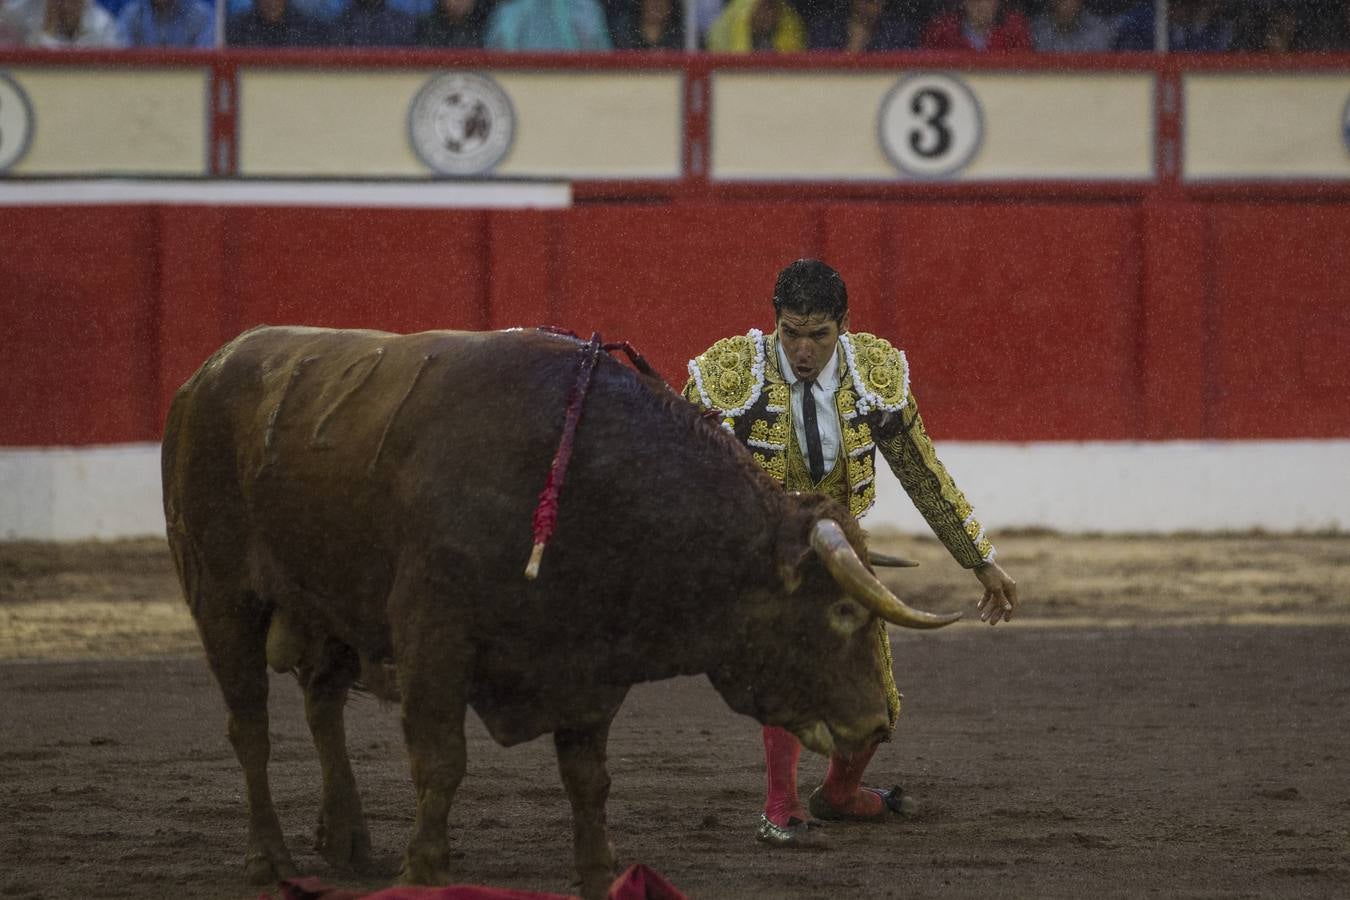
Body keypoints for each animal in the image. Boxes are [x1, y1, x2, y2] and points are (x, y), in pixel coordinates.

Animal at [160, 327, 961, 895]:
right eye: (843, 613)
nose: (879, 721)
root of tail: (206, 373)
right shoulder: (433, 639)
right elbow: (441, 762)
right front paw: (424, 873)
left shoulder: (588, 665)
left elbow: (588, 778)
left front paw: (600, 875)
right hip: (221, 593)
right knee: (251, 727)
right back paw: (271, 860)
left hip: (325, 606)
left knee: (322, 706)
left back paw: (349, 843)